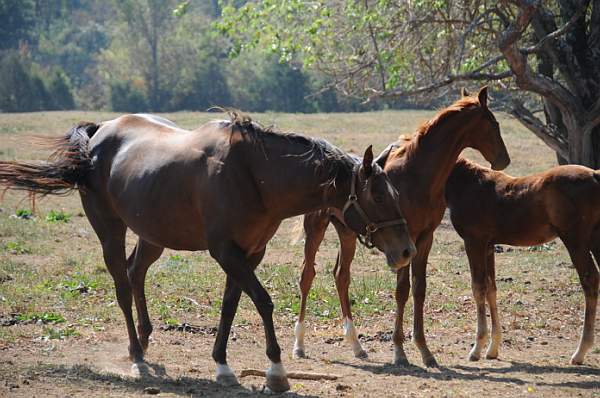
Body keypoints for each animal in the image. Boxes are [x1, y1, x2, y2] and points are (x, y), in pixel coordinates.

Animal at [0, 111, 418, 392]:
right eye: (379, 196)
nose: (407, 251)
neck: (252, 175)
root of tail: (99, 133)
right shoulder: (225, 252)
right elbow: (263, 302)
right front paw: (276, 371)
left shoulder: (249, 253)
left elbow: (230, 305)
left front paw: (222, 365)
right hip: (109, 231)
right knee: (121, 285)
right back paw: (136, 355)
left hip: (153, 235)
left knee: (136, 274)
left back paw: (146, 339)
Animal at [292, 87, 508, 366]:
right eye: (493, 123)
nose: (504, 159)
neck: (418, 175)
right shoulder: (405, 240)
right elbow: (402, 290)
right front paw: (399, 350)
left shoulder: (424, 239)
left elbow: (419, 289)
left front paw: (425, 350)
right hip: (316, 228)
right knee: (307, 275)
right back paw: (299, 344)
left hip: (347, 232)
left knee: (341, 276)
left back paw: (356, 345)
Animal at [446, 157, 600, 366]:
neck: (467, 184)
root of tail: (595, 175)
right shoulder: (488, 246)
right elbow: (491, 288)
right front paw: (492, 349)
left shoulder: (474, 242)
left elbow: (478, 288)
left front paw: (476, 349)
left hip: (576, 239)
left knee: (590, 280)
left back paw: (580, 352)